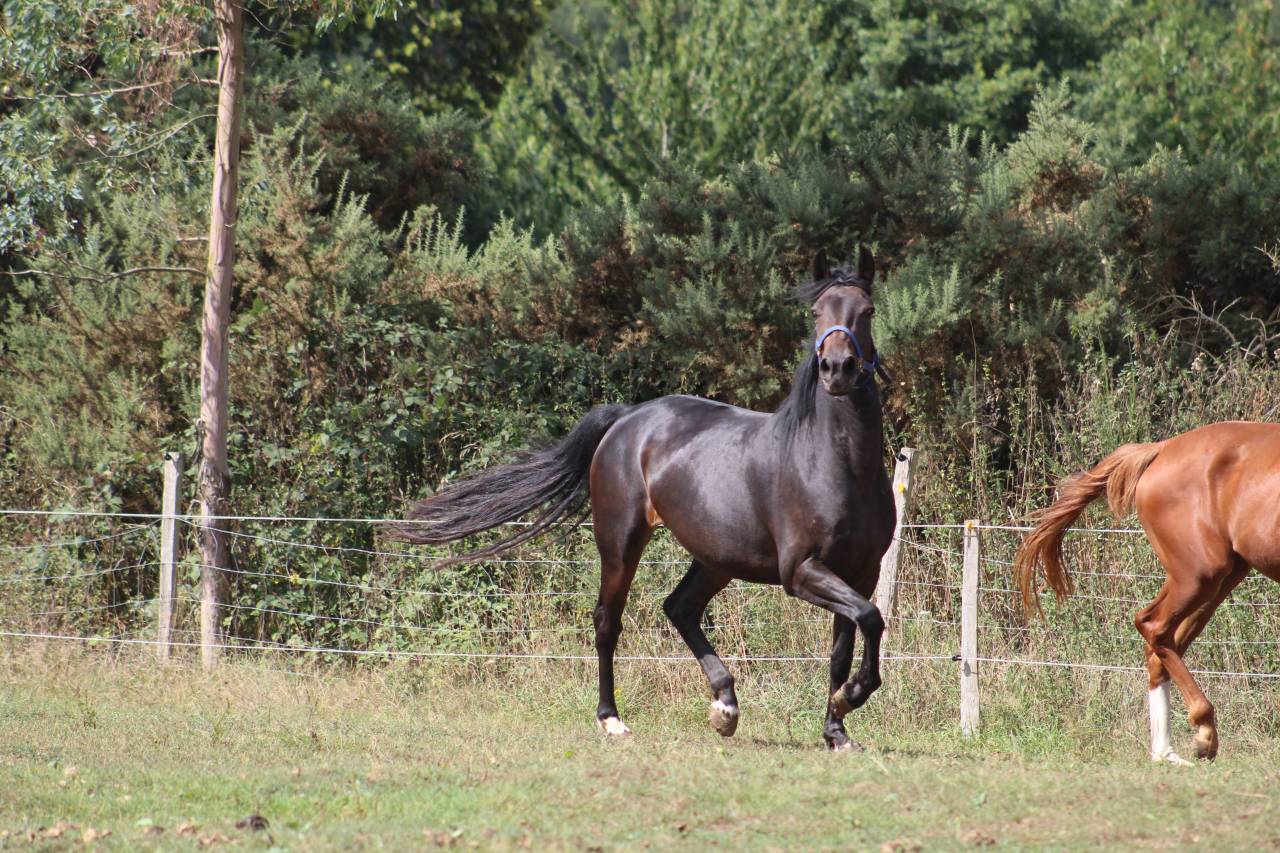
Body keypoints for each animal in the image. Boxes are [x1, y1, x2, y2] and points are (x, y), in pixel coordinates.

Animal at [392, 248, 895, 749]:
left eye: (868, 310)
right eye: (815, 312)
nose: (837, 369)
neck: (833, 464)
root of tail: (627, 418)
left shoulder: (860, 572)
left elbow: (846, 645)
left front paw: (837, 728)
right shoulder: (801, 571)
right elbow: (871, 619)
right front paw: (850, 699)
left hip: (717, 558)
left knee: (680, 608)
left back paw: (724, 707)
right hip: (621, 544)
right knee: (607, 623)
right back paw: (612, 718)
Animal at [1015, 421, 1280, 764]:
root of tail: (1161, 449)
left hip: (1218, 577)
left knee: (1161, 644)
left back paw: (1167, 752)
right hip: (1200, 574)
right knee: (1153, 626)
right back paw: (1202, 733)